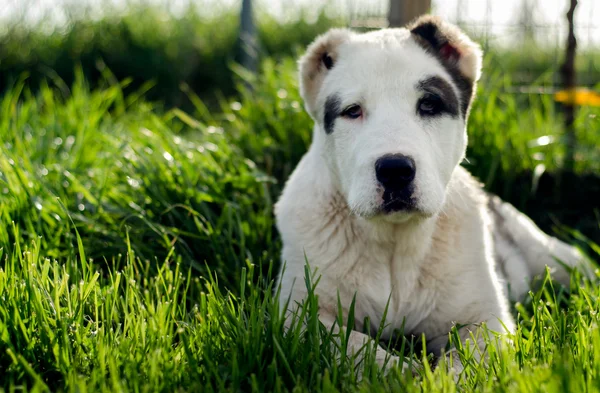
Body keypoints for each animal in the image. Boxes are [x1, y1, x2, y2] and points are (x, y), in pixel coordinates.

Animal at [274, 16, 592, 374]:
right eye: (352, 111)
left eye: (428, 105)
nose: (395, 170)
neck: (395, 241)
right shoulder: (298, 314)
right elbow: (353, 346)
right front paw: (400, 372)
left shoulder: (485, 318)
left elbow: (467, 364)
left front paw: (436, 377)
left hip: (556, 258)